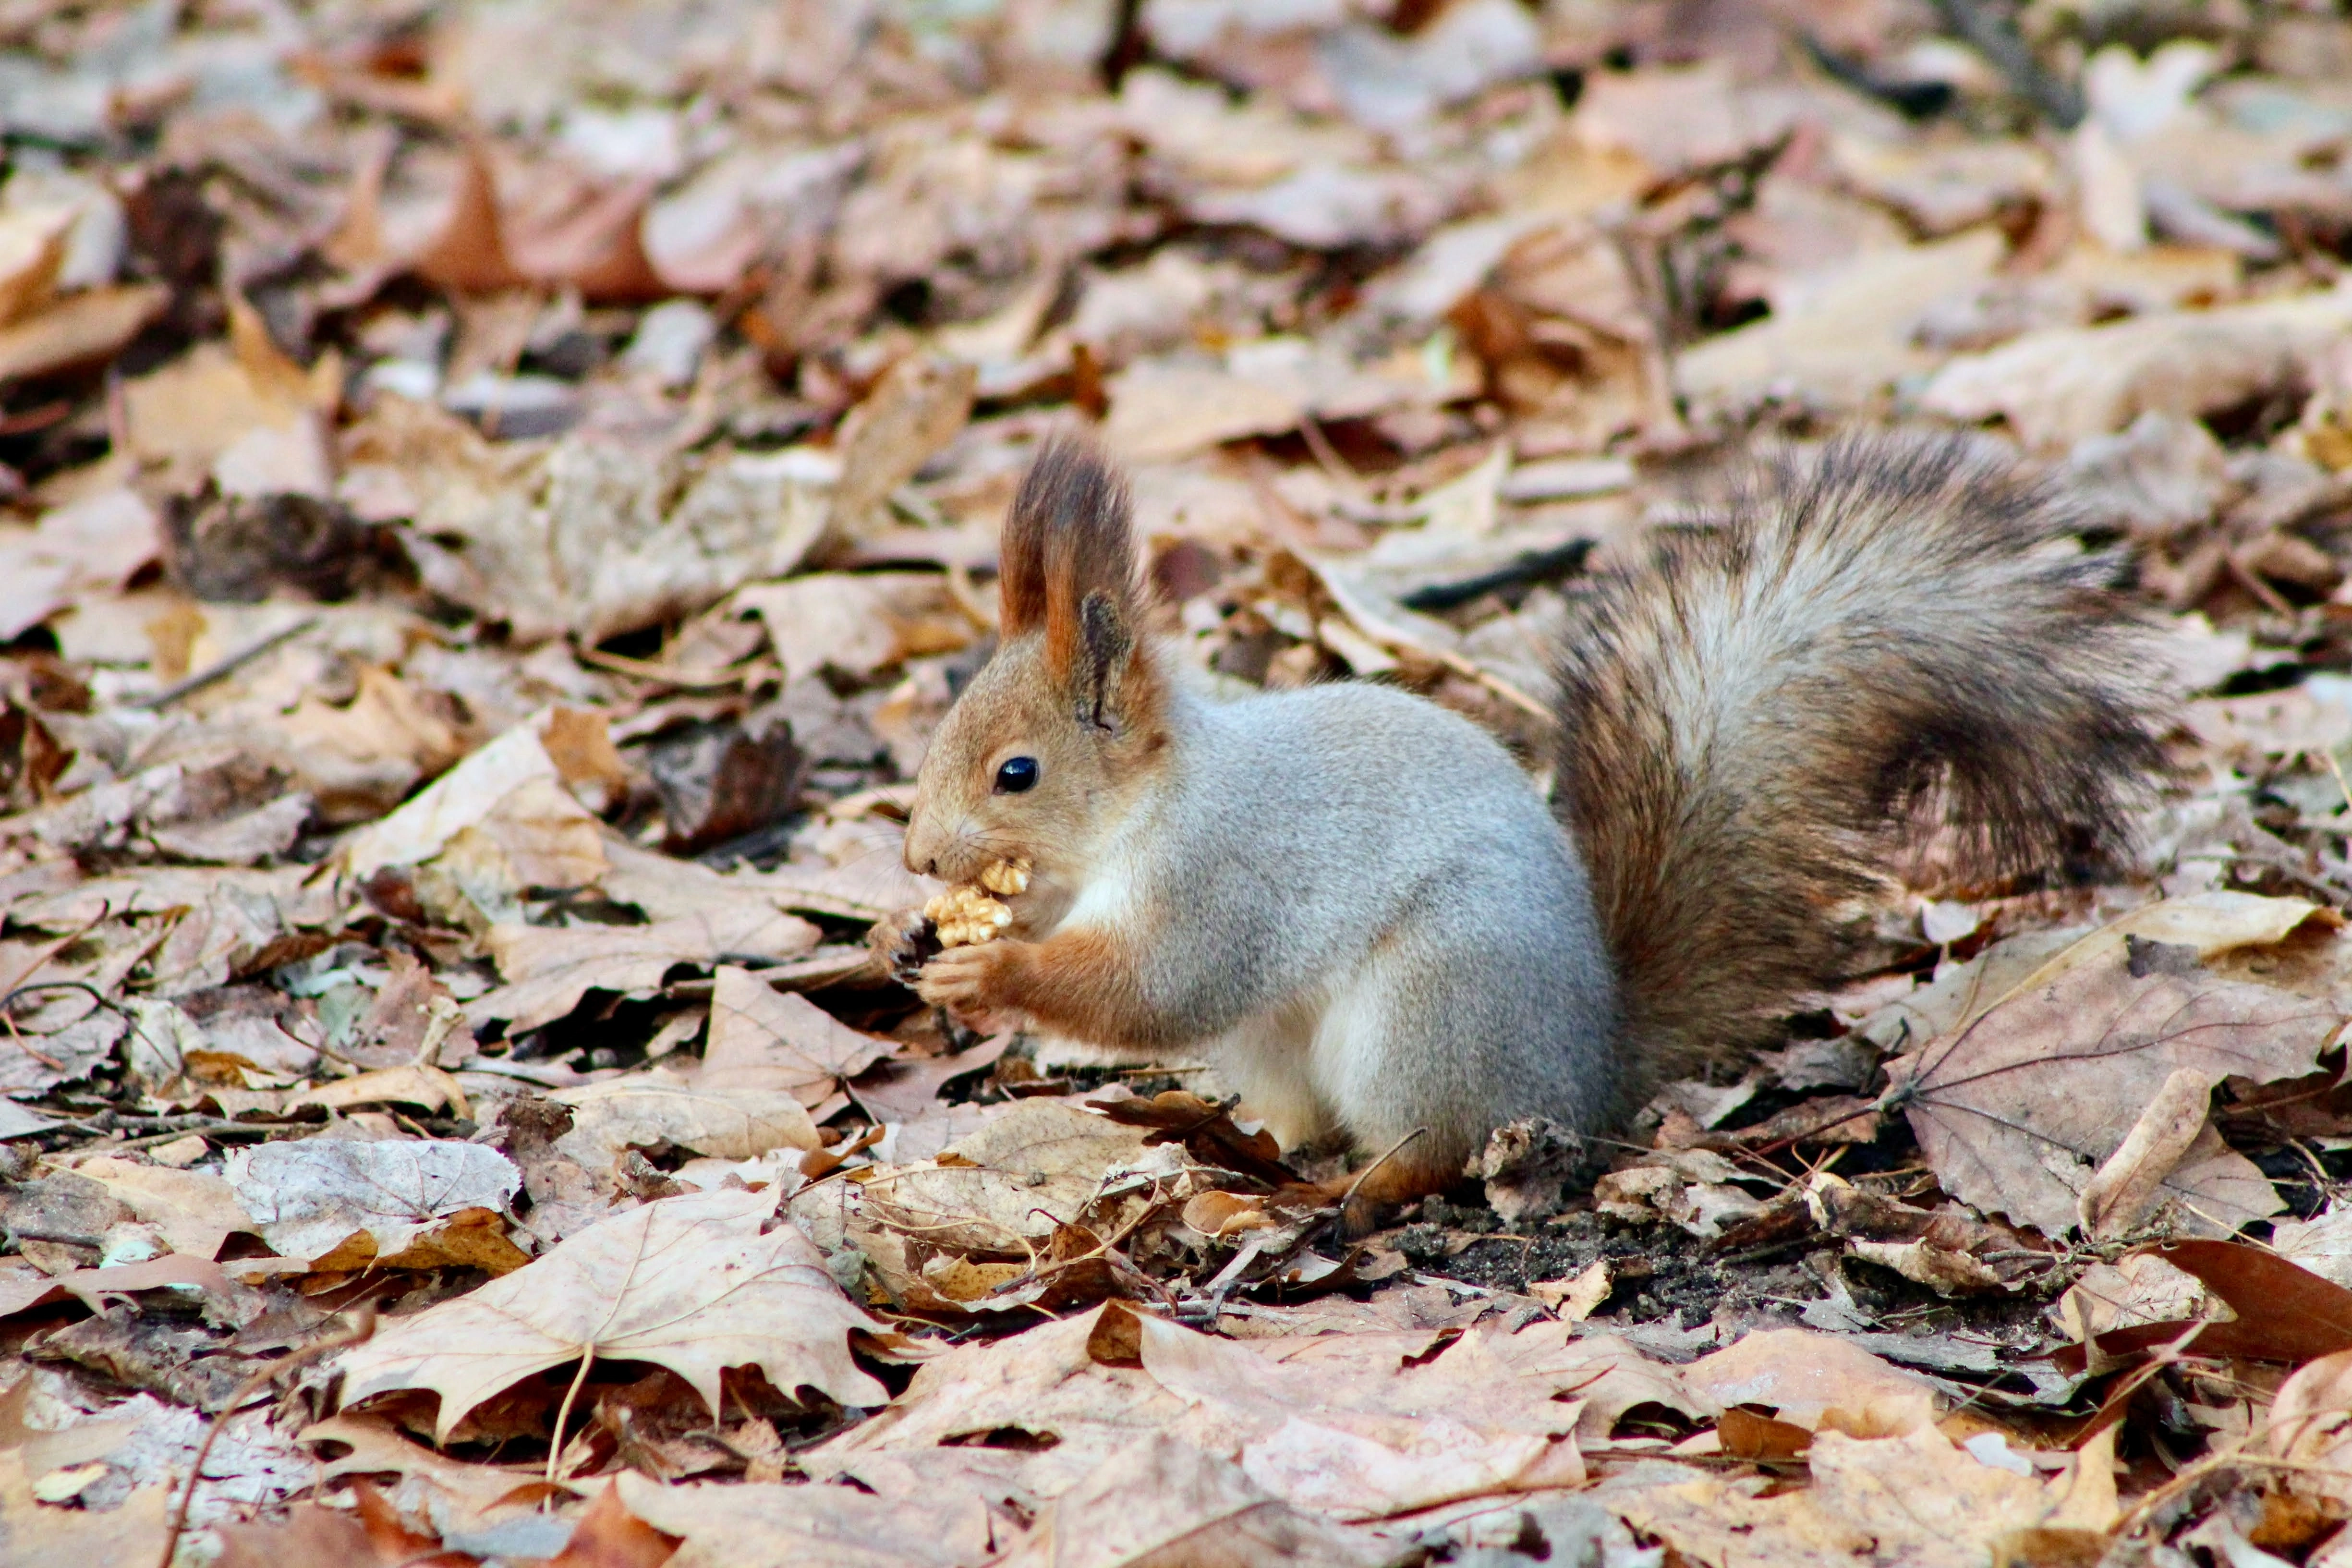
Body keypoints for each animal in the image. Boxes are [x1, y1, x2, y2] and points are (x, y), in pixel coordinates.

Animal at [879, 439, 2164, 1213]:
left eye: (1015, 772)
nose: (916, 856)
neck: (1144, 809)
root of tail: (1588, 1069)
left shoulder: (1221, 875)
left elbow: (1156, 987)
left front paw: (994, 973)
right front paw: (908, 935)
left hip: (1429, 1011)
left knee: (1437, 1143)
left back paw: (1357, 1190)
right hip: (1286, 1046)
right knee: (1301, 1115)